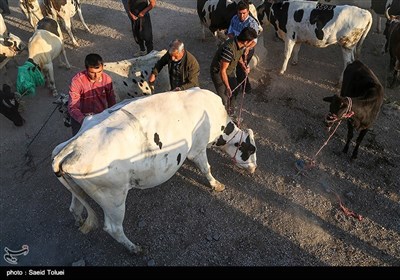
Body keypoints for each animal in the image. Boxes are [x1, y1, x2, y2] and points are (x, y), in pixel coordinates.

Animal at [51, 88, 258, 254]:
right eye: (251, 151)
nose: (254, 169)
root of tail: (71, 147)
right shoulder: (198, 148)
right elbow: (207, 168)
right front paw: (216, 184)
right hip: (113, 198)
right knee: (113, 228)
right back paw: (134, 249)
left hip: (78, 189)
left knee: (75, 207)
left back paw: (79, 221)